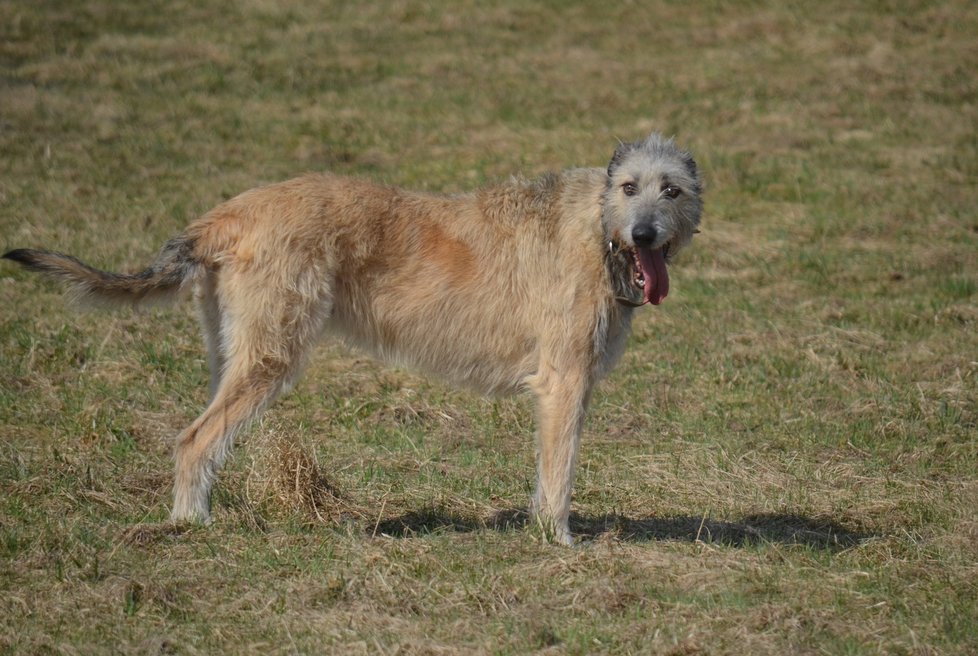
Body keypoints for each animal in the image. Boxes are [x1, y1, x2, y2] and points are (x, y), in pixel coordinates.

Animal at [0, 133, 700, 544]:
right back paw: (192, 524)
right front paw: (557, 542)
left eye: (672, 190)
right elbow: (559, 473)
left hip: (236, 353)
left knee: (204, 434)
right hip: (272, 356)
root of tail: (225, 214)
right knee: (194, 438)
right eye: (629, 187)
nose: (644, 234)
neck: (598, 226)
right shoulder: (563, 382)